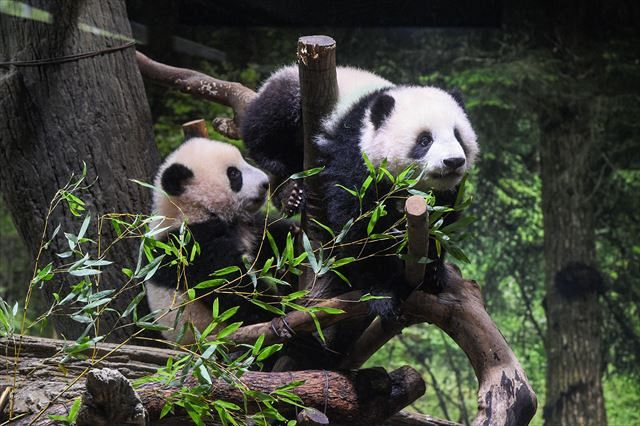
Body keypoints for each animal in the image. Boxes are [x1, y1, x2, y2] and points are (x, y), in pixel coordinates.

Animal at [145, 138, 292, 344]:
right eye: (234, 173)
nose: (265, 183)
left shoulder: (247, 226)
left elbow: (272, 237)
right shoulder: (192, 247)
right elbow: (231, 288)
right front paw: (284, 309)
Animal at [242, 65, 478, 320]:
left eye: (458, 135)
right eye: (425, 140)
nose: (453, 162)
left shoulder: (444, 193)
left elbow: (442, 221)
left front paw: (433, 273)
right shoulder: (355, 154)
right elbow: (358, 225)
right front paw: (384, 290)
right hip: (291, 90)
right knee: (267, 121)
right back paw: (286, 184)